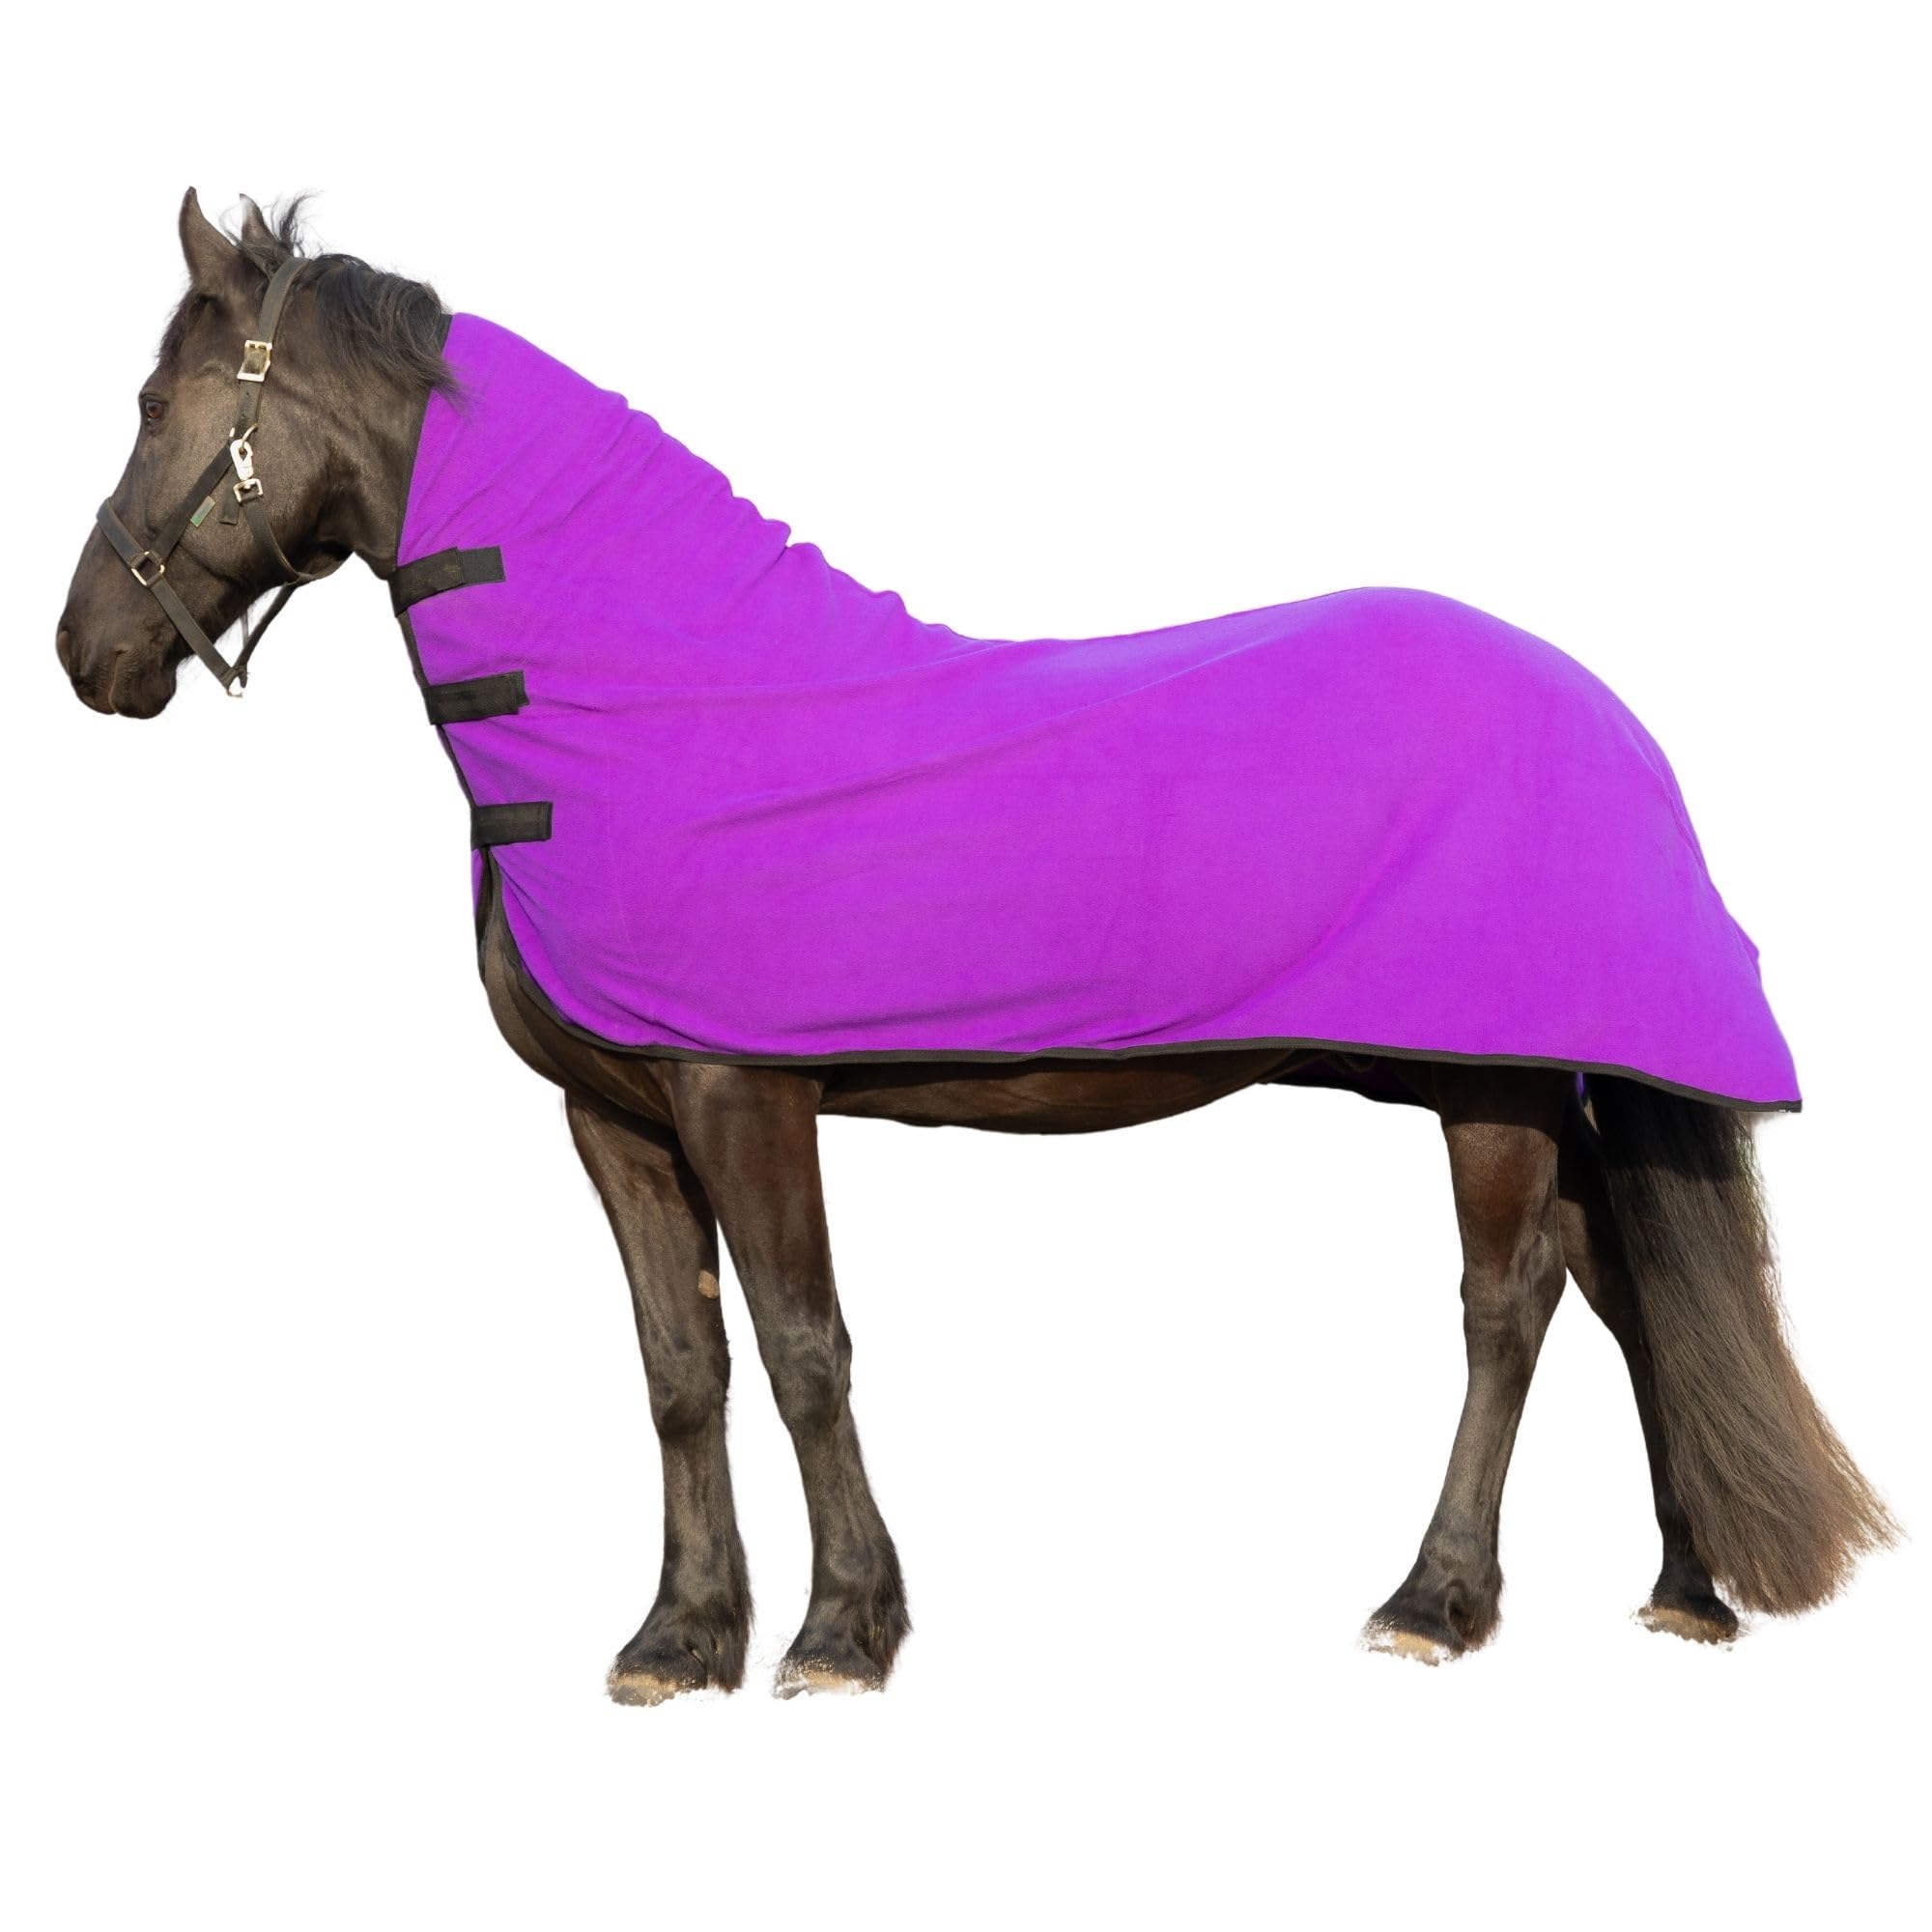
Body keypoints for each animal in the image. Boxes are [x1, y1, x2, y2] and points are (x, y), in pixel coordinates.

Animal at [54, 189, 1893, 1702]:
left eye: (155, 407)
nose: (88, 652)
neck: (649, 697)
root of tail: (1613, 719)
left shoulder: (742, 1092)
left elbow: (804, 1351)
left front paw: (840, 1634)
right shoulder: (615, 1115)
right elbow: (681, 1369)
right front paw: (679, 1640)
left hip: (1488, 1089)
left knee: (1510, 1308)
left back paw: (1434, 1603)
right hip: (1494, 1076)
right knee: (1627, 1286)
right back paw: (1687, 1591)